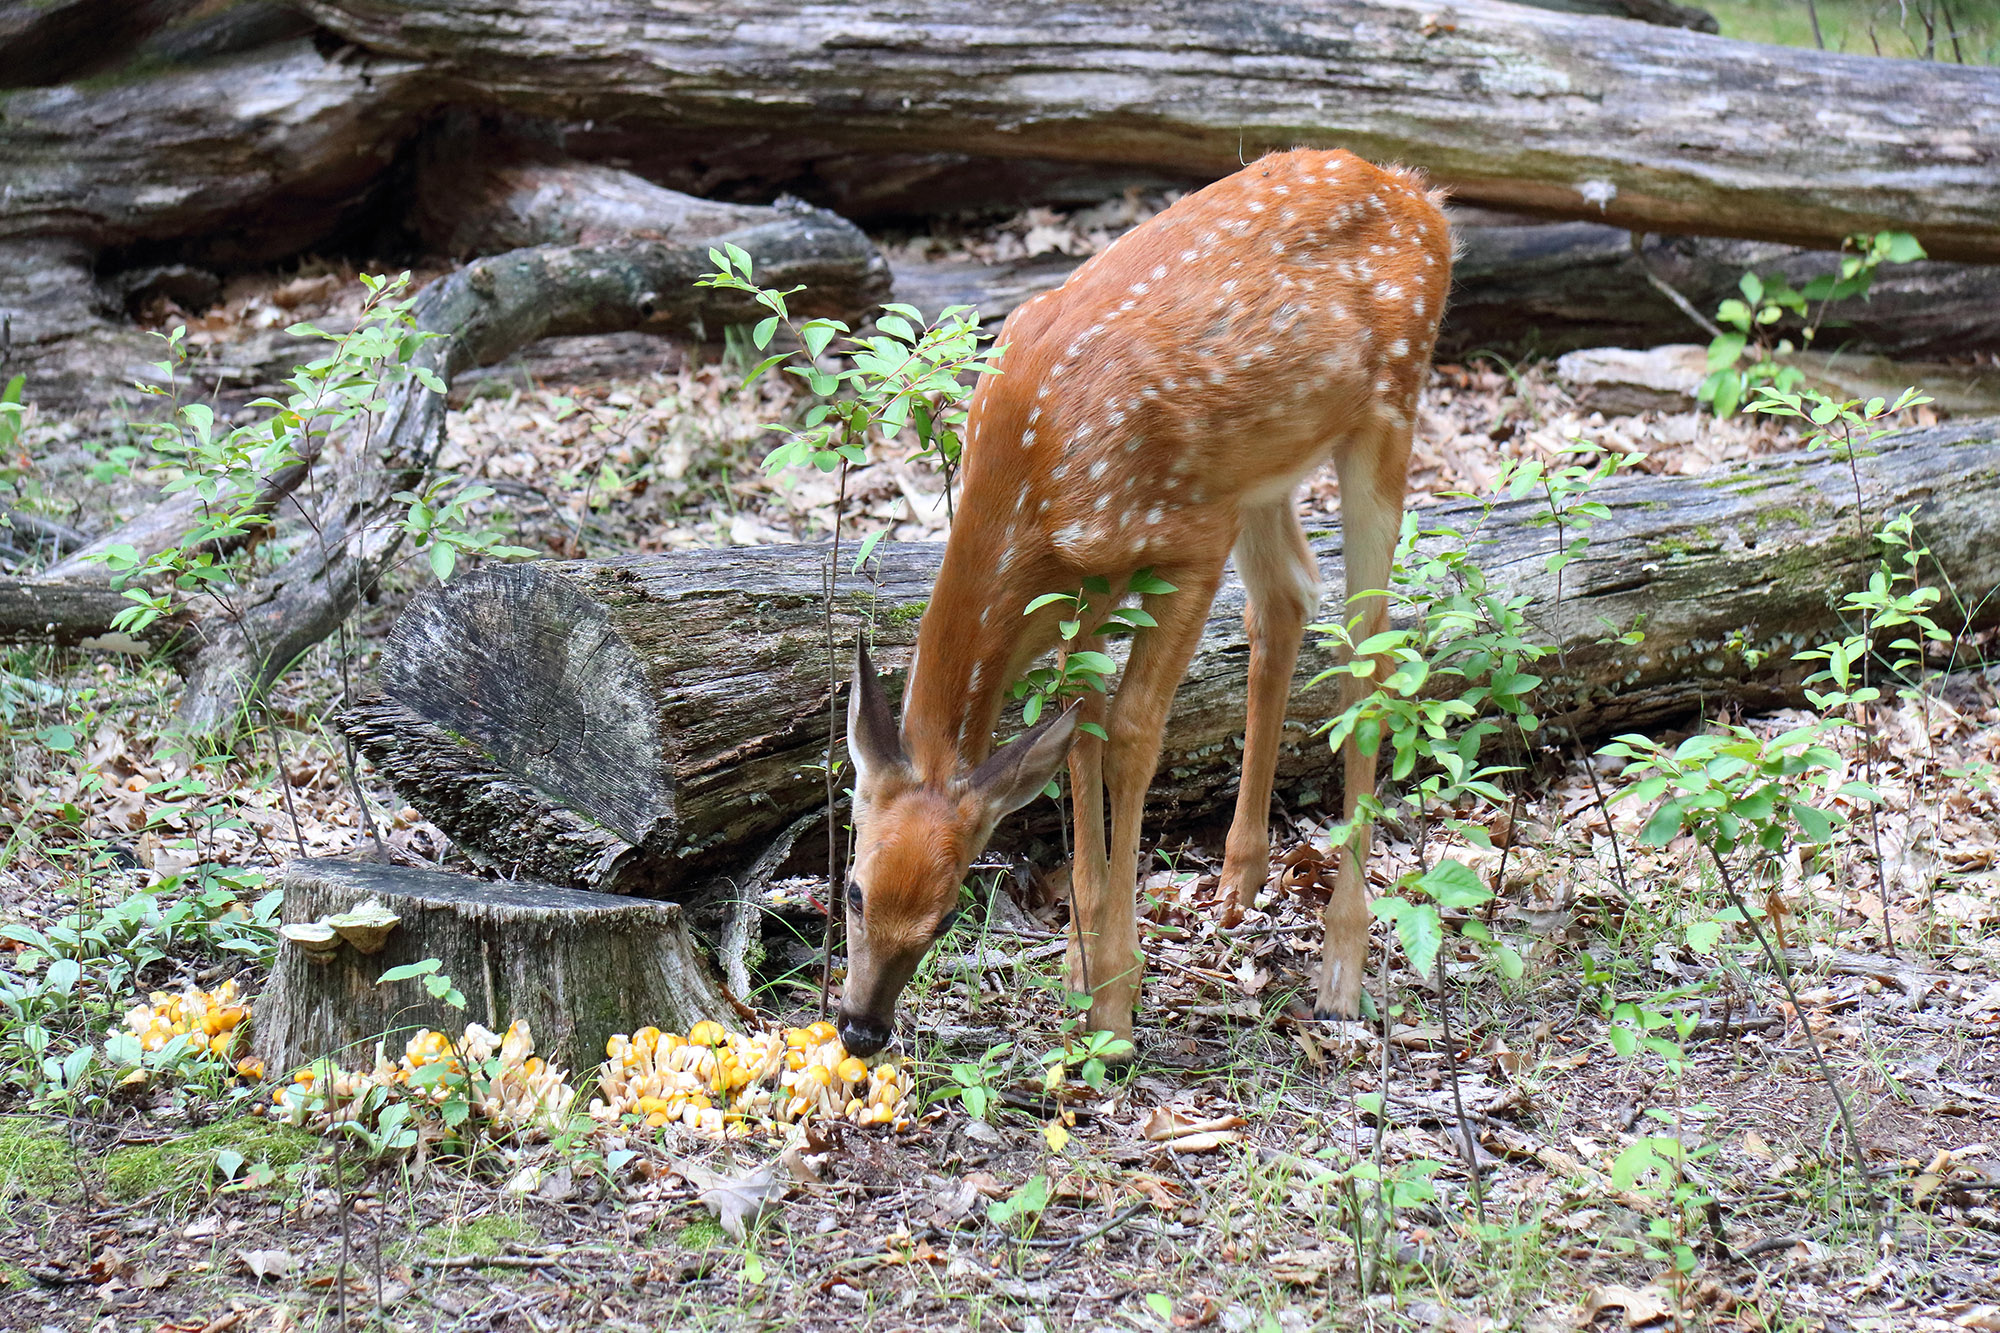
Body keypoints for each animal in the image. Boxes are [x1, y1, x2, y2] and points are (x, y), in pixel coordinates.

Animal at [837, 148, 1452, 1058]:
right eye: (853, 888)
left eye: (947, 917)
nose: (858, 1028)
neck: (1029, 473)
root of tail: (1421, 193)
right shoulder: (1086, 577)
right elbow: (1077, 718)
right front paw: (1080, 966)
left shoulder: (1187, 539)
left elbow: (1129, 732)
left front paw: (1116, 1005)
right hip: (1259, 468)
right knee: (1285, 602)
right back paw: (1239, 878)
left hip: (1387, 412)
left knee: (1367, 653)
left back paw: (1341, 971)